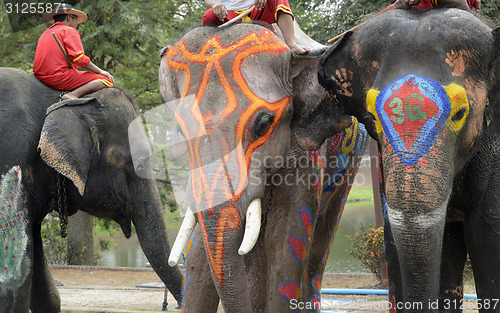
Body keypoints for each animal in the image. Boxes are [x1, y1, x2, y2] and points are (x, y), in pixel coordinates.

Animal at [0, 67, 184, 310]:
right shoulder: (11, 162)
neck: (55, 99)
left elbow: (40, 279)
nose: (176, 306)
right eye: (131, 161)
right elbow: (14, 278)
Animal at [158, 23, 370, 310]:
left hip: (349, 166)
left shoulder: (307, 156)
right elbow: (199, 259)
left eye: (263, 124)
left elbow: (285, 247)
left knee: (317, 252)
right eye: (181, 131)